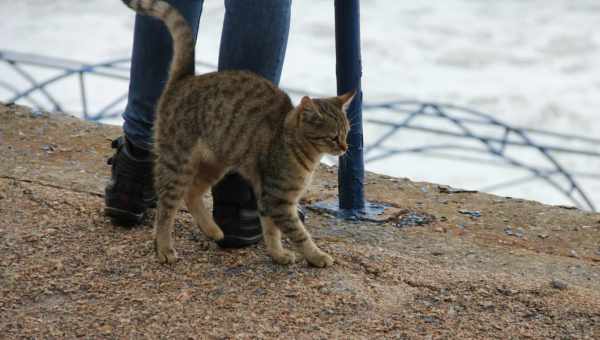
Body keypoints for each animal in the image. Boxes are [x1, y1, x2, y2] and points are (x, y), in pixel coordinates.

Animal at [123, 0, 354, 266]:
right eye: (333, 137)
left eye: (347, 133)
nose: (345, 148)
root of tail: (185, 78)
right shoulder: (278, 198)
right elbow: (298, 233)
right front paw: (317, 256)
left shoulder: (267, 197)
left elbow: (271, 230)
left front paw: (278, 254)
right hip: (177, 162)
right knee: (166, 208)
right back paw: (164, 248)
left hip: (215, 163)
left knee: (192, 193)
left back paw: (213, 230)